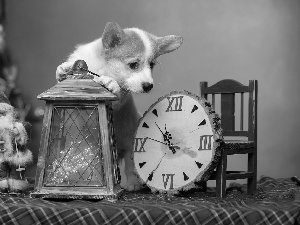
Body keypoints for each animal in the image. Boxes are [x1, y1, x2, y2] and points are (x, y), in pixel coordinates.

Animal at [56, 22, 183, 191]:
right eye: (133, 65)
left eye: (152, 65)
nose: (149, 86)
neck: (104, 68)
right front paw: (63, 69)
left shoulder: (118, 101)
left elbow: (115, 92)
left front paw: (111, 83)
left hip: (131, 148)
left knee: (131, 167)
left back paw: (133, 184)